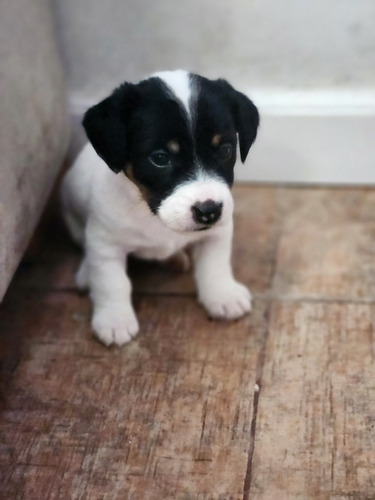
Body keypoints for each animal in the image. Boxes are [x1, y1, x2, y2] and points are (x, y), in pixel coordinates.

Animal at [62, 70, 262, 346]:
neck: (151, 213)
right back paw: (84, 274)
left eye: (225, 149)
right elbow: (112, 282)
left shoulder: (217, 233)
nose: (209, 211)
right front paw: (114, 320)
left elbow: (215, 264)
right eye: (159, 158)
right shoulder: (105, 244)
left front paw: (222, 295)